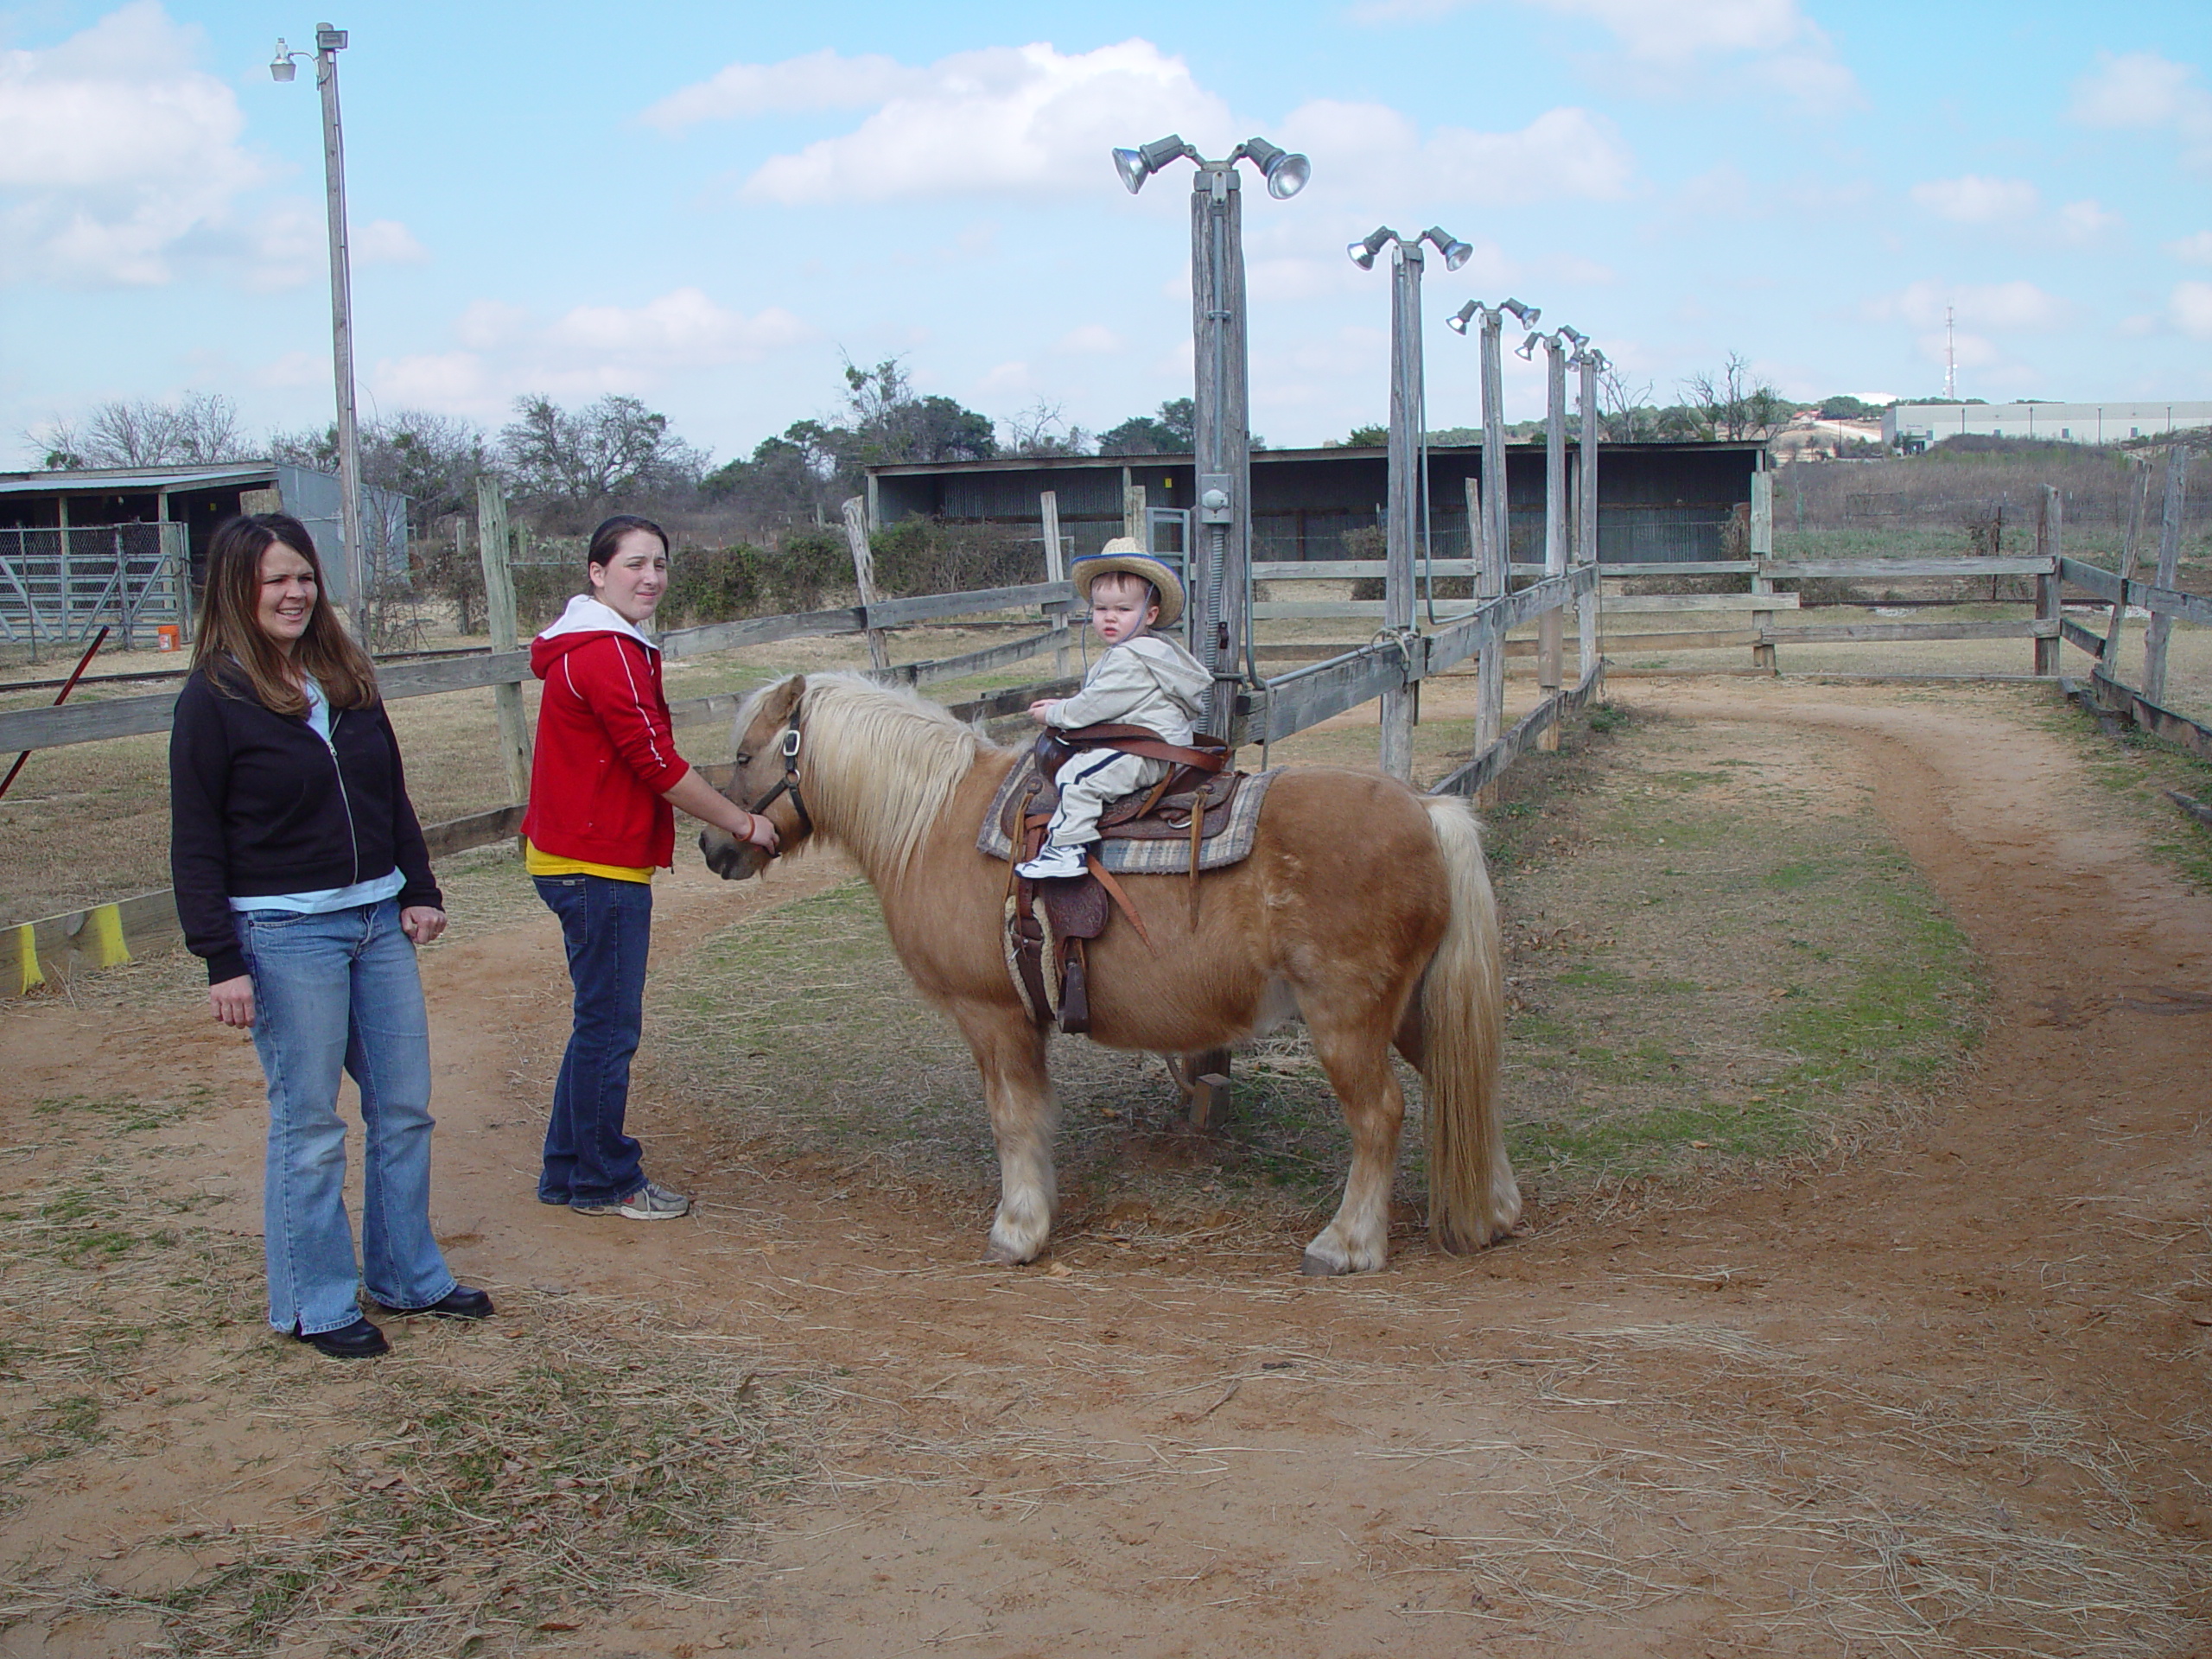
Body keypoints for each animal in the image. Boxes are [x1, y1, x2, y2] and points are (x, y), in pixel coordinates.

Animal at [708, 672, 1522, 1274]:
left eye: (745, 757)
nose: (716, 849)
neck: (934, 819)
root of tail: (1427, 811)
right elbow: (1035, 1118)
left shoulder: (992, 1016)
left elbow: (1012, 1119)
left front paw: (1018, 1230)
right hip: (1412, 1010)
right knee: (1464, 1080)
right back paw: (1495, 1208)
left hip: (1346, 1020)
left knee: (1380, 1115)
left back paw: (1348, 1243)